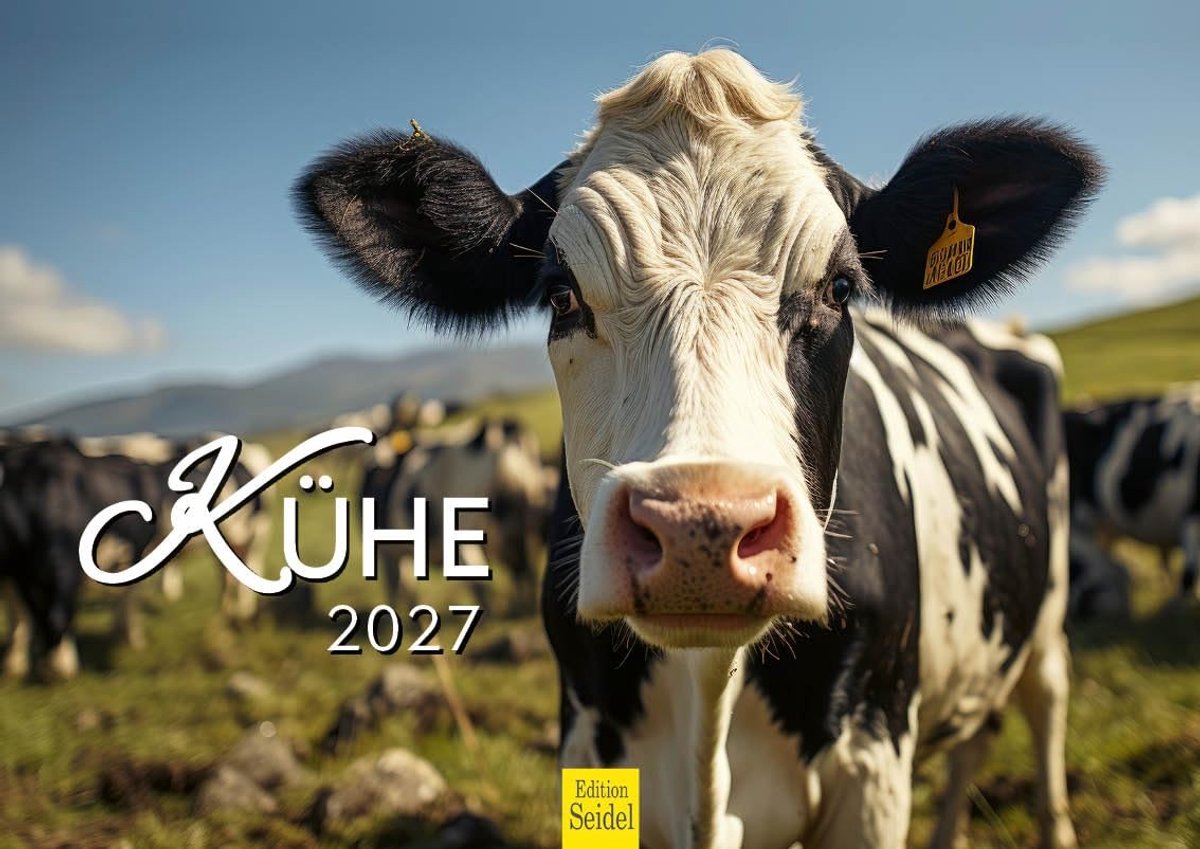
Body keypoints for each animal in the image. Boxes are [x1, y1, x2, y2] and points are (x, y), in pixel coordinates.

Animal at [295, 49, 1100, 849]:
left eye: (841, 288)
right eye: (560, 295)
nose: (699, 529)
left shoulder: (872, 764)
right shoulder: (586, 741)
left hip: (1048, 609)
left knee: (1044, 705)